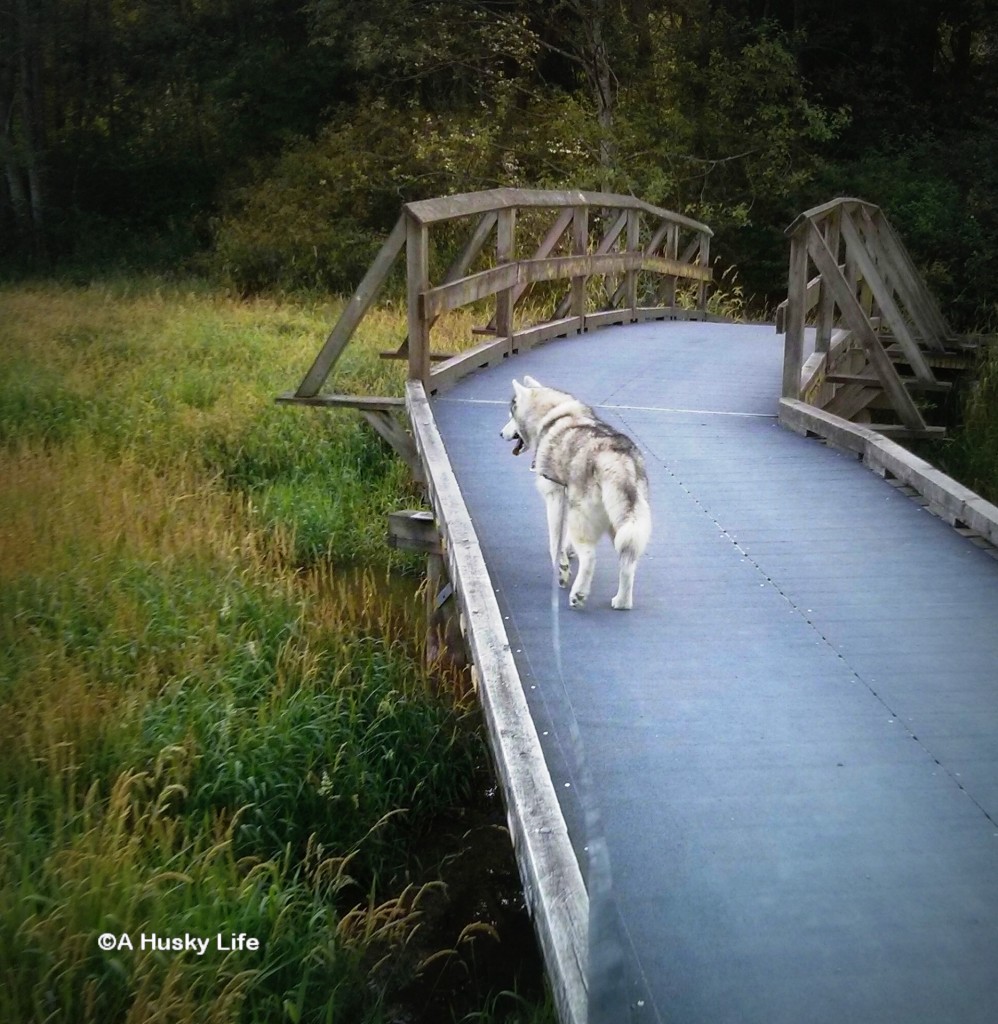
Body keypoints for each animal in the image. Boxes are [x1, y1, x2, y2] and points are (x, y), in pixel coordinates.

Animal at [503, 380, 651, 610]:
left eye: (511, 414)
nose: (501, 434)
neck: (553, 416)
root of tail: (615, 457)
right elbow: (564, 540)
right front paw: (568, 552)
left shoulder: (555, 496)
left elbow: (555, 541)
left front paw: (560, 567)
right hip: (623, 524)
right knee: (628, 561)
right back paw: (622, 601)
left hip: (582, 517)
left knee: (590, 557)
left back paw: (578, 593)